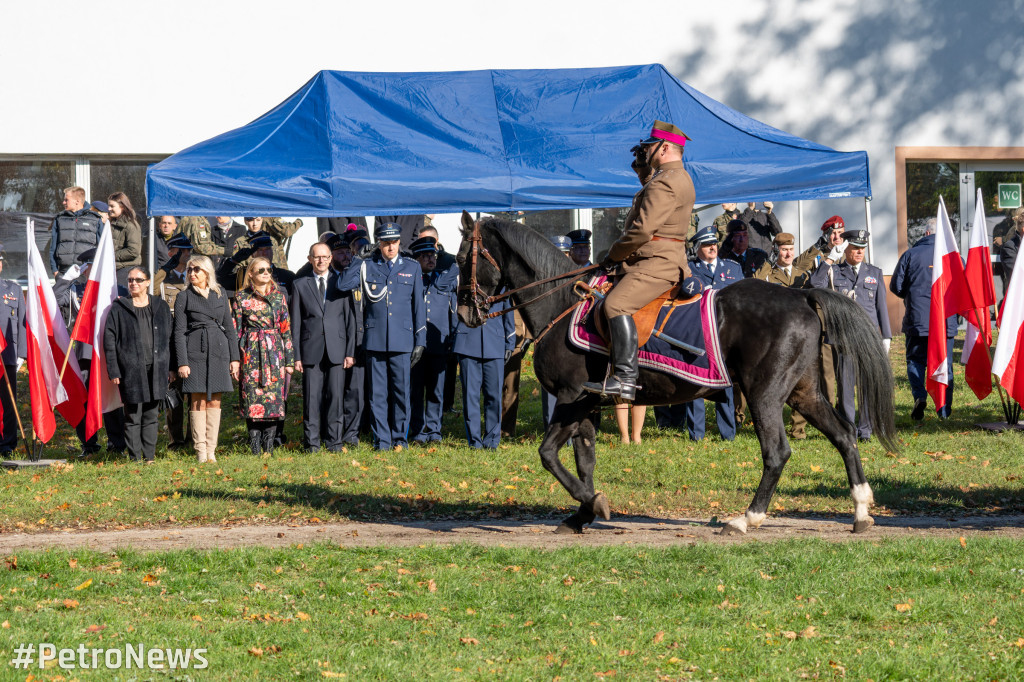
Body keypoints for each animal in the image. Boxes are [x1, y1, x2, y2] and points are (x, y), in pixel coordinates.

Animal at [456, 215, 897, 532]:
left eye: (462, 259)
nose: (464, 313)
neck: (563, 303)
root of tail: (800, 294)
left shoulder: (570, 398)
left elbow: (548, 455)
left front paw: (592, 504)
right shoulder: (586, 405)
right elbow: (584, 461)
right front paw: (583, 512)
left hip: (765, 394)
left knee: (777, 453)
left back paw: (746, 519)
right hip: (803, 392)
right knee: (843, 436)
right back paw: (860, 511)